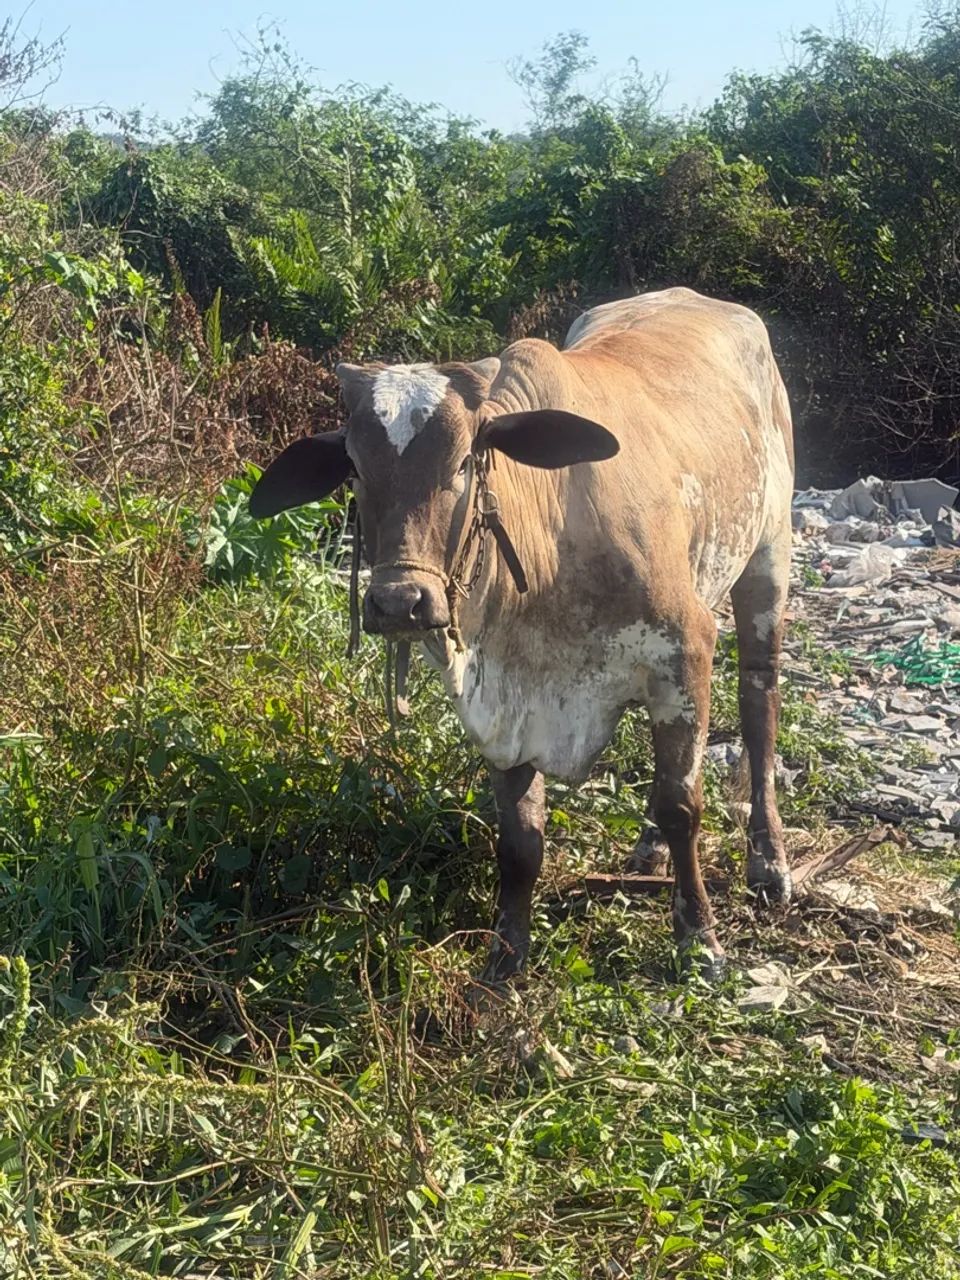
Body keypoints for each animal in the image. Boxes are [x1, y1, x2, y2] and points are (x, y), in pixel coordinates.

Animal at [249, 287, 795, 981]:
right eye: (354, 465)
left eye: (465, 460)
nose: (400, 602)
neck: (551, 546)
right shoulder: (506, 704)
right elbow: (520, 840)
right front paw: (506, 954)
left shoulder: (686, 647)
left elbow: (682, 805)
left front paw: (699, 937)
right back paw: (647, 852)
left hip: (768, 559)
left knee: (758, 707)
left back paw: (768, 862)